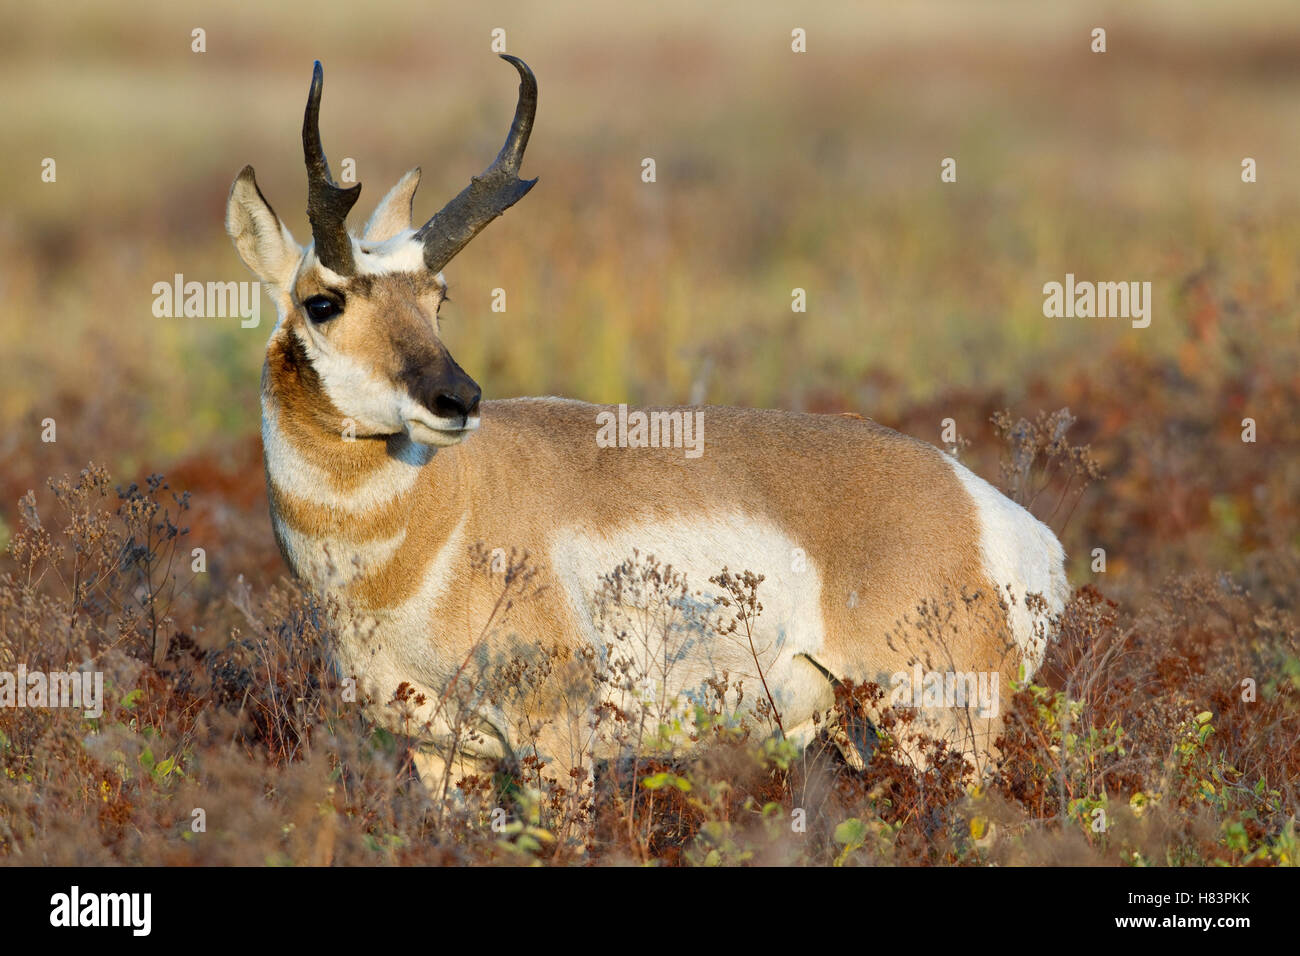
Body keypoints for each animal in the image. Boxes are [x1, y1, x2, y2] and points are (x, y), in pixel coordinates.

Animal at [225, 55, 1069, 792]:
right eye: (323, 302)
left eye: (438, 298)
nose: (457, 400)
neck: (438, 519)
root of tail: (989, 513)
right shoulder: (442, 757)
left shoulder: (555, 743)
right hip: (867, 733)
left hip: (938, 734)